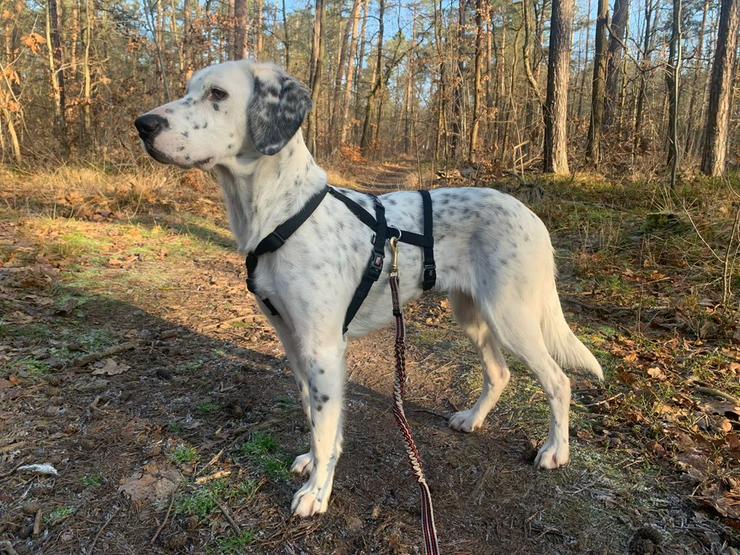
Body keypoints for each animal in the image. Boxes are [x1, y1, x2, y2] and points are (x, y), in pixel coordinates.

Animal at [136, 62, 604, 520]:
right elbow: (316, 419)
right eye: (189, 89)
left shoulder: (322, 348)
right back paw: (472, 419)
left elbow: (324, 429)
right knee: (499, 372)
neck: (282, 213)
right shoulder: (293, 342)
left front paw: (316, 493)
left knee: (559, 380)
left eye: (217, 94)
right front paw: (315, 464)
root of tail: (532, 216)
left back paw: (555, 451)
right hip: (472, 314)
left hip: (511, 316)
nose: (143, 124)